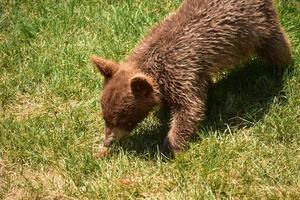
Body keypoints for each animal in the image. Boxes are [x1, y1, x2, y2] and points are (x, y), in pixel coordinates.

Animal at [91, 0, 290, 155]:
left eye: (123, 119)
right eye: (105, 117)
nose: (107, 142)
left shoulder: (180, 70)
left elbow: (189, 108)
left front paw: (169, 147)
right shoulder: (188, 73)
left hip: (257, 26)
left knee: (276, 45)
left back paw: (281, 68)